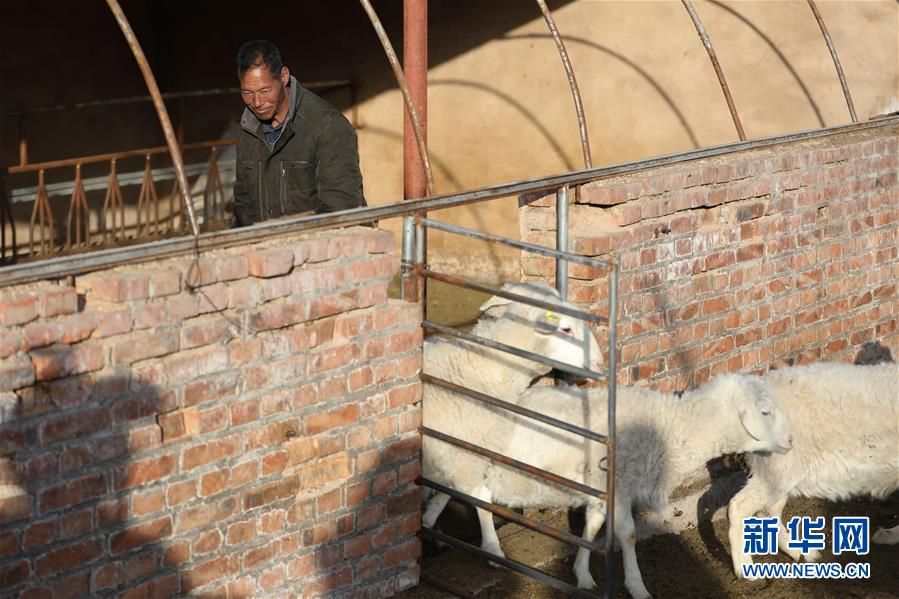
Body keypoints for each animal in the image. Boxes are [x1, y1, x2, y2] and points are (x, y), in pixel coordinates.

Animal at [421, 282, 603, 531]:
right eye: (566, 329)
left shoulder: (454, 455)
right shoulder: (460, 453)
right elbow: (480, 500)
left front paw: (428, 519)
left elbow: (445, 490)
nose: (600, 363)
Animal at [454, 373, 792, 599]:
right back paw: (492, 549)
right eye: (764, 411)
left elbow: (592, 525)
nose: (791, 441)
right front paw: (637, 586)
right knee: (479, 498)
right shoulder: (619, 486)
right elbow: (627, 535)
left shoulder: (603, 489)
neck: (673, 428)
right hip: (474, 462)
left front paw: (582, 575)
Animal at [727, 360, 899, 576]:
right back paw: (744, 568)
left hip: (779, 470)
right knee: (739, 506)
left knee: (767, 511)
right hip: (779, 468)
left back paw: (800, 553)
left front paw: (889, 535)